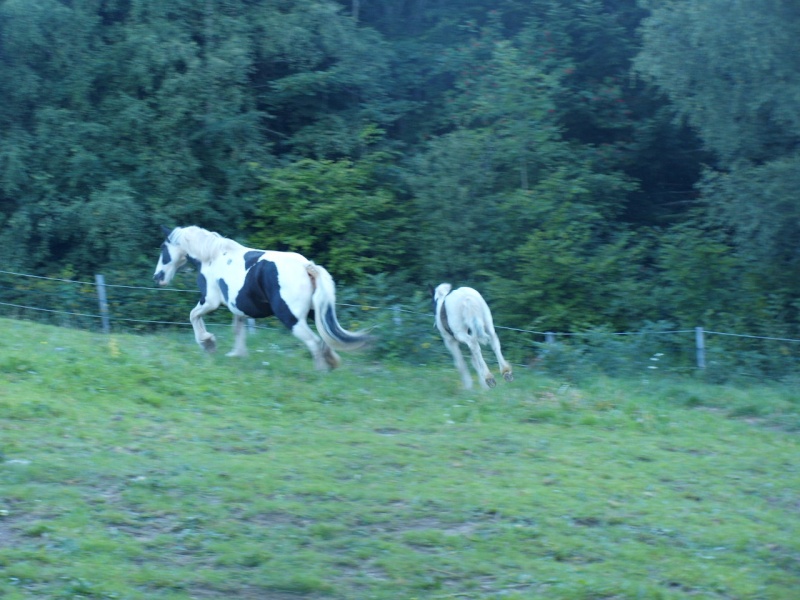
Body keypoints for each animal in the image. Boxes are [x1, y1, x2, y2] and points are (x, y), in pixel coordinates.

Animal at [155, 226, 370, 370]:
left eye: (163, 248)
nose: (157, 277)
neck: (212, 256)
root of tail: (307, 267)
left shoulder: (210, 301)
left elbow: (193, 316)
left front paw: (208, 343)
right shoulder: (238, 307)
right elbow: (237, 329)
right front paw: (236, 354)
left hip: (290, 318)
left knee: (314, 342)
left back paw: (320, 373)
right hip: (314, 312)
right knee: (325, 338)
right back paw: (331, 364)